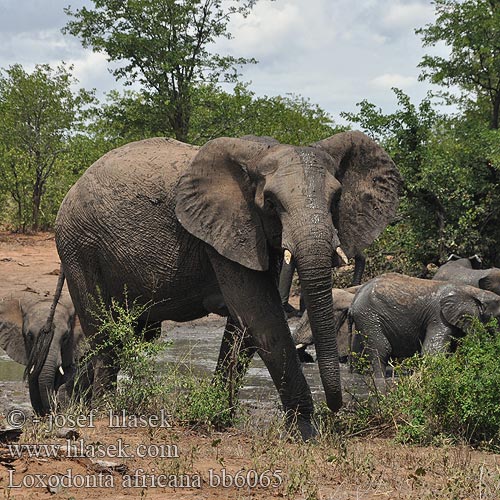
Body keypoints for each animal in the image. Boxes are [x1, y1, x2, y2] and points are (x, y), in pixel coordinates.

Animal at [34, 131, 402, 436]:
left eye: (336, 199)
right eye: (271, 203)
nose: (336, 409)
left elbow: (244, 325)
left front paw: (219, 416)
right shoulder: (226, 230)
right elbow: (260, 316)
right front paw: (307, 432)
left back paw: (73, 404)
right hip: (79, 246)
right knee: (105, 333)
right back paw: (98, 409)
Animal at [350, 274, 500, 376]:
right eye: (498, 317)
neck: (474, 291)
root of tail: (354, 300)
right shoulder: (438, 316)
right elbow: (432, 351)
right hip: (369, 315)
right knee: (382, 347)